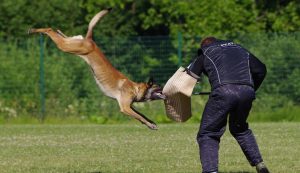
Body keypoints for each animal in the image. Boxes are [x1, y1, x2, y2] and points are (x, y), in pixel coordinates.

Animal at [28, 8, 166, 130]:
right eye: (159, 87)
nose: (166, 92)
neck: (135, 88)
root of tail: (90, 40)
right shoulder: (125, 108)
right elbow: (139, 116)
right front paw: (150, 125)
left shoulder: (129, 106)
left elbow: (142, 115)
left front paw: (151, 122)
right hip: (66, 47)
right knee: (50, 30)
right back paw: (33, 30)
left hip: (72, 43)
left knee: (64, 34)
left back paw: (56, 30)